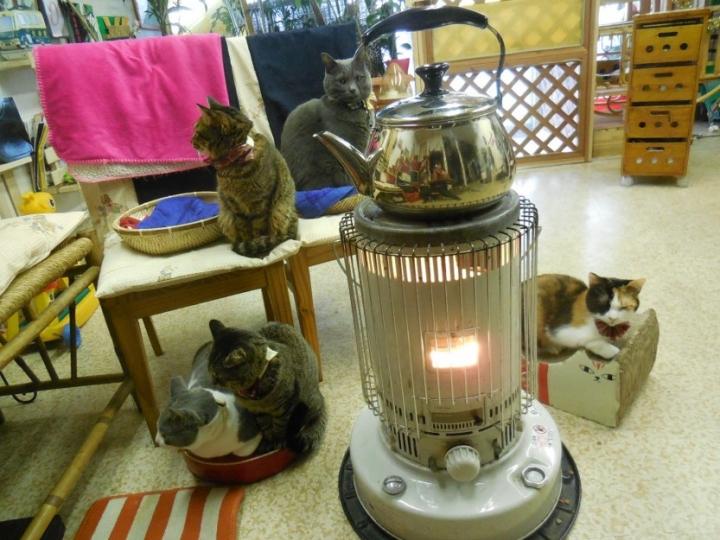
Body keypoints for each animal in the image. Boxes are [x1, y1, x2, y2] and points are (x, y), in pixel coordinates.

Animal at [192, 97, 297, 258]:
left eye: (197, 132)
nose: (190, 141)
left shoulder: (260, 203)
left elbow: (259, 229)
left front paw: (258, 249)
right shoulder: (234, 205)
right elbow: (243, 230)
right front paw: (248, 244)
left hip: (280, 210)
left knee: (283, 235)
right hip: (225, 217)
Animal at [207, 319, 326, 455]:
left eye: (216, 376)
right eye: (209, 370)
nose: (211, 381)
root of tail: (319, 393)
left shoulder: (286, 406)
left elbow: (280, 426)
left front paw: (278, 440)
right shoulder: (258, 412)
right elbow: (266, 427)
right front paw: (269, 441)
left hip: (310, 400)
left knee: (315, 415)